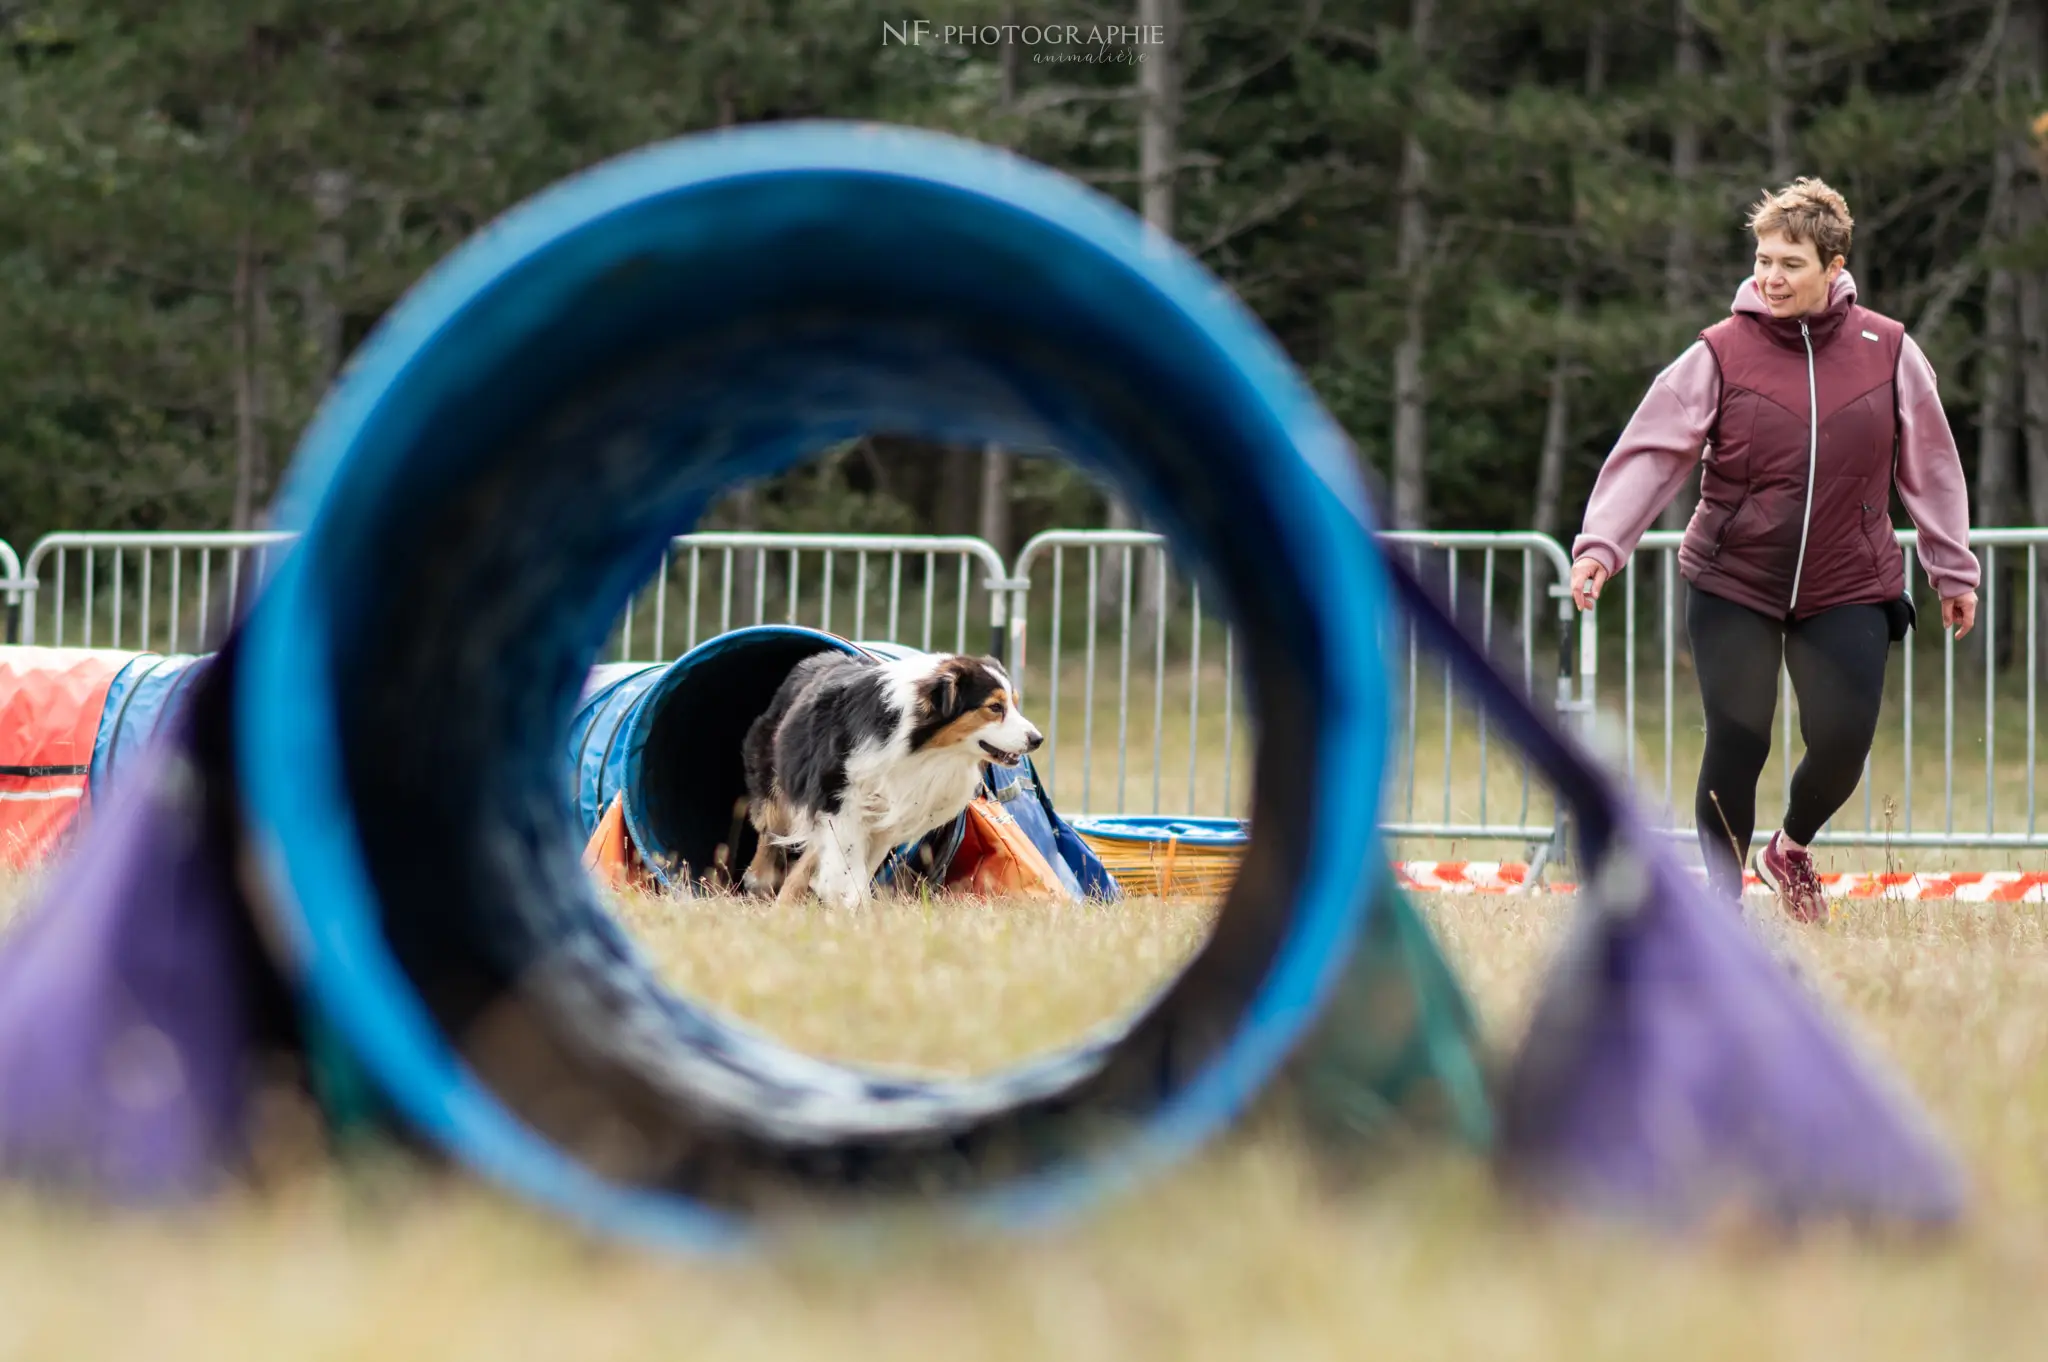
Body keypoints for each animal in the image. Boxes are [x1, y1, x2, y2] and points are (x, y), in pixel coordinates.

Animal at [741, 651, 1040, 909]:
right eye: (995, 707)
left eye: (1014, 704)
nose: (1037, 739)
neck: (924, 748)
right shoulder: (839, 800)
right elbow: (846, 865)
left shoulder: (888, 818)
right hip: (775, 780)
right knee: (769, 828)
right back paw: (760, 879)